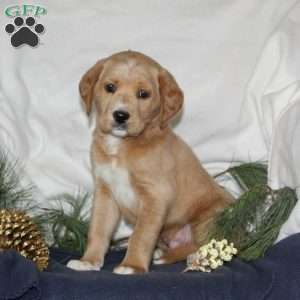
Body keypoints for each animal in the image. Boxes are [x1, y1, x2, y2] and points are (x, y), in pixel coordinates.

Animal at [67, 50, 233, 274]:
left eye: (143, 94)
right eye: (110, 87)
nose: (121, 115)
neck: (122, 146)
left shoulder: (156, 195)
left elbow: (141, 235)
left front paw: (132, 265)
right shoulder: (105, 192)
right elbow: (98, 229)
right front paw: (89, 261)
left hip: (211, 217)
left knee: (200, 245)